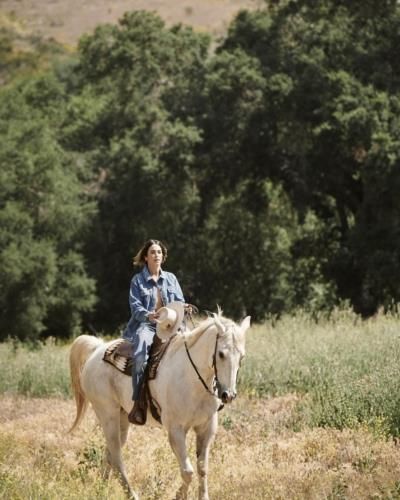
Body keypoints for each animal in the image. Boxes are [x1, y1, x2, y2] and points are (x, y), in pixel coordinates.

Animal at [69, 312, 250, 500]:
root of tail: (97, 349)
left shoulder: (206, 429)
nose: (228, 395)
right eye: (221, 354)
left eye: (242, 356)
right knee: (117, 458)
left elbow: (202, 469)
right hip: (107, 414)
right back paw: (132, 495)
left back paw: (102, 490)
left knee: (110, 454)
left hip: (121, 418)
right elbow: (188, 472)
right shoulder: (176, 430)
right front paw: (179, 495)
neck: (192, 378)